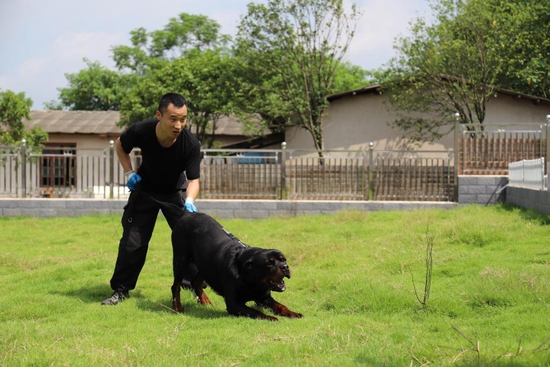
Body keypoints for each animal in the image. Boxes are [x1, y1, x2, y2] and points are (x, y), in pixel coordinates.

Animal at [171, 210, 304, 322]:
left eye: (283, 260)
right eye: (269, 263)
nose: (285, 267)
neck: (250, 279)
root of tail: (188, 214)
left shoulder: (264, 297)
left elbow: (281, 306)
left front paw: (293, 313)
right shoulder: (234, 304)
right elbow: (255, 312)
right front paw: (270, 317)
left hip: (204, 264)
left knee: (195, 282)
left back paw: (205, 301)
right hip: (181, 259)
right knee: (175, 286)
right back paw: (177, 308)